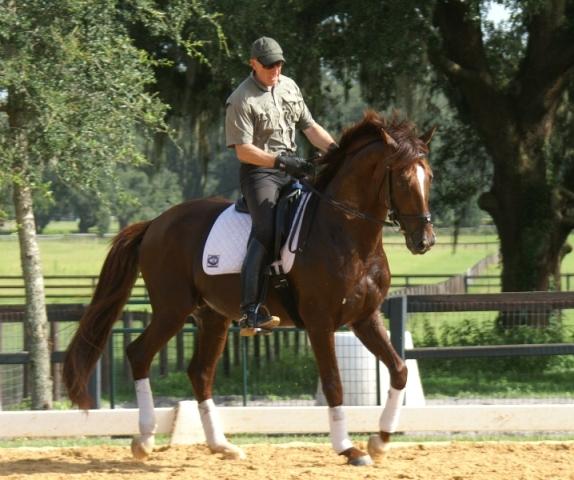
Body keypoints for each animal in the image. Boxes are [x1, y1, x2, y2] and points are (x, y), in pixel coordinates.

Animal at [62, 109, 436, 464]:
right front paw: (348, 448)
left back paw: (222, 446)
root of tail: (155, 223)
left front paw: (380, 440)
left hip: (212, 317)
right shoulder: (320, 323)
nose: (425, 241)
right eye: (404, 178)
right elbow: (333, 384)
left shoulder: (365, 318)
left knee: (200, 373)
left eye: (429, 176)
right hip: (172, 309)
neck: (346, 233)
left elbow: (399, 370)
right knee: (139, 354)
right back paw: (144, 439)